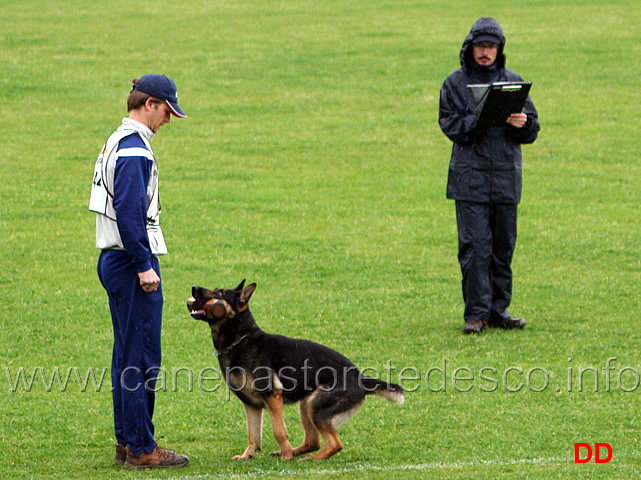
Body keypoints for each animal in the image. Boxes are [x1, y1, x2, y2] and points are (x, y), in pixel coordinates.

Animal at [188, 282, 402, 462]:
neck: (241, 339)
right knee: (313, 442)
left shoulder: (273, 397)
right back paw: (298, 453)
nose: (194, 287)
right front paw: (247, 455)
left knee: (335, 444)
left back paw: (308, 459)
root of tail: (360, 378)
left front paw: (286, 456)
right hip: (306, 404)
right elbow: (253, 435)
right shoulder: (252, 405)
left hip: (316, 407)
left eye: (219, 293)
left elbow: (278, 431)